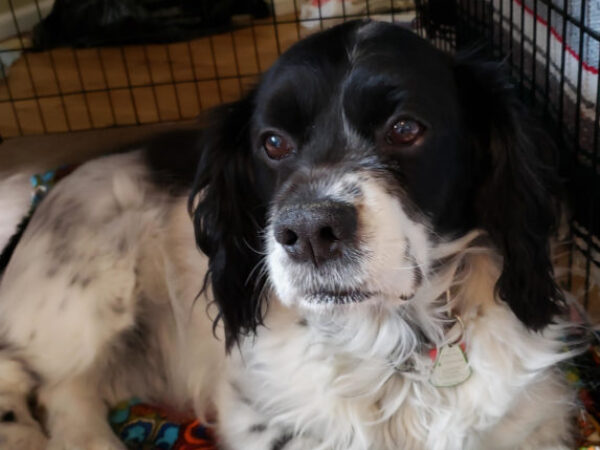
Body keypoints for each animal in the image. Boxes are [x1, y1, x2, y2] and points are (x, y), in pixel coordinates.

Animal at [0, 20, 576, 450]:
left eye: (406, 128)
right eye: (272, 142)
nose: (309, 231)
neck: (392, 349)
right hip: (88, 288)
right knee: (40, 382)